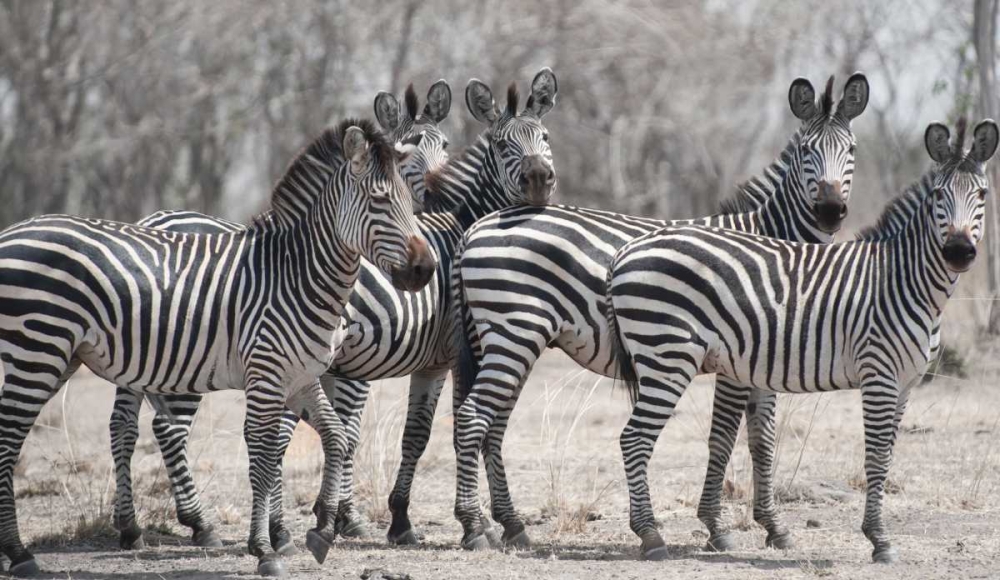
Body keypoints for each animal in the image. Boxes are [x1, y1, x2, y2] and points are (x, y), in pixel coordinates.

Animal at [0, 119, 436, 577]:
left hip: (61, 356)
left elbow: (335, 437)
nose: (425, 269)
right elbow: (264, 455)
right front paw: (265, 549)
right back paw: (21, 554)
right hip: (38, 351)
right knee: (9, 442)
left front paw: (321, 531)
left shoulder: (301, 377)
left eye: (409, 201)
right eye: (379, 200)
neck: (296, 274)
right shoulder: (267, 374)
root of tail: (13, 232)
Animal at [104, 70, 560, 554]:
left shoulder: (410, 363)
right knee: (174, 429)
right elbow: (466, 429)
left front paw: (379, 518)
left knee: (124, 426)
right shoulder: (450, 355)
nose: (538, 179)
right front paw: (485, 523)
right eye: (502, 144)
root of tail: (154, 220)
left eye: (545, 137)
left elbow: (406, 435)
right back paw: (212, 524)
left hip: (141, 355)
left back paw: (132, 527)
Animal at [449, 74, 869, 550]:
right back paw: (476, 527)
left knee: (490, 424)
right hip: (514, 333)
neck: (768, 239)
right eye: (805, 152)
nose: (830, 212)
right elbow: (723, 437)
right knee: (473, 418)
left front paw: (774, 527)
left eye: (852, 150)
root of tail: (477, 227)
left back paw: (505, 525)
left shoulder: (762, 357)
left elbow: (762, 441)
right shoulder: (736, 358)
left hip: (503, 339)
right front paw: (717, 527)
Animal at [608, 119, 998, 563]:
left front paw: (877, 535)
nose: (959, 252)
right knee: (634, 439)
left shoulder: (906, 383)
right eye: (938, 195)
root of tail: (628, 249)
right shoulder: (878, 373)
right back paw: (651, 536)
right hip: (668, 355)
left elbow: (888, 456)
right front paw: (879, 540)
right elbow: (876, 459)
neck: (902, 279)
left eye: (982, 195)